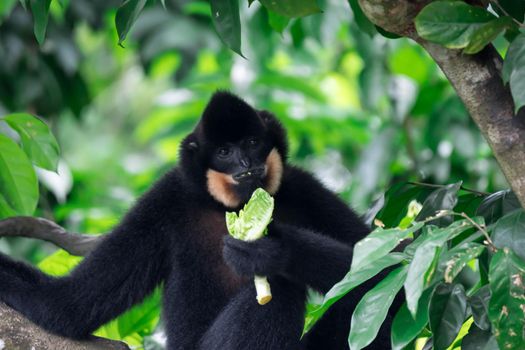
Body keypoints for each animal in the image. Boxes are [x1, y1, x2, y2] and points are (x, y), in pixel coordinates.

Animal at [0, 91, 390, 348]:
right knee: (276, 295)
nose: (246, 164)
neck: (227, 209)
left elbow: (383, 258)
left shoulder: (300, 187)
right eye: (225, 151)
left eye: (252, 143)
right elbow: (69, 304)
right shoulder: (164, 200)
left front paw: (273, 249)